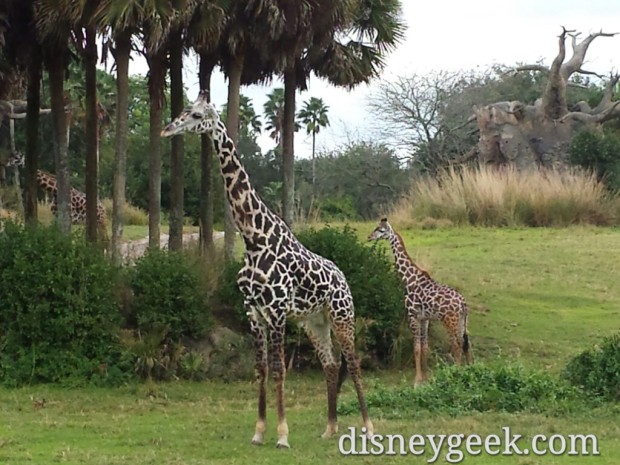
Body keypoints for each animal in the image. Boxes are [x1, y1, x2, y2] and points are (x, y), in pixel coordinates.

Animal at [161, 91, 372, 450]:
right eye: (183, 110)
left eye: (198, 115)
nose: (168, 129)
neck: (253, 238)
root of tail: (343, 278)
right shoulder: (254, 312)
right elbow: (260, 369)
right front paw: (259, 432)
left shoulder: (276, 311)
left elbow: (279, 370)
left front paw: (283, 436)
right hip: (314, 322)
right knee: (330, 365)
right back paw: (329, 428)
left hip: (342, 316)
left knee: (354, 364)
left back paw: (369, 428)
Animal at [366, 218, 472, 384]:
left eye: (380, 230)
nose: (369, 237)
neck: (409, 279)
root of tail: (463, 303)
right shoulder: (424, 318)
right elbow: (424, 347)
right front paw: (425, 379)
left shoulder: (412, 315)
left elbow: (416, 347)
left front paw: (416, 381)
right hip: (462, 320)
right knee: (465, 342)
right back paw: (468, 370)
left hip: (449, 320)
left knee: (456, 344)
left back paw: (456, 372)